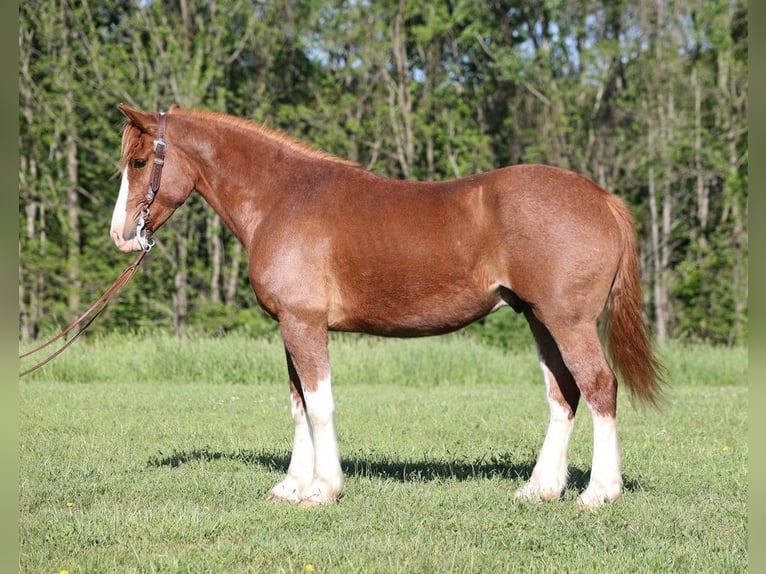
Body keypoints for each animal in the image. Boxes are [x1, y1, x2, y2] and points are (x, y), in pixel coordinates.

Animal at [109, 103, 664, 508]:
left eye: (139, 162)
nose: (121, 236)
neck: (282, 199)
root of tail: (601, 198)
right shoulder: (289, 327)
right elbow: (298, 406)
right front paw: (291, 486)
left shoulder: (304, 324)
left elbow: (319, 404)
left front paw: (322, 489)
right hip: (540, 320)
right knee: (563, 394)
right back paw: (540, 489)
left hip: (569, 322)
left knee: (599, 387)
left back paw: (599, 493)